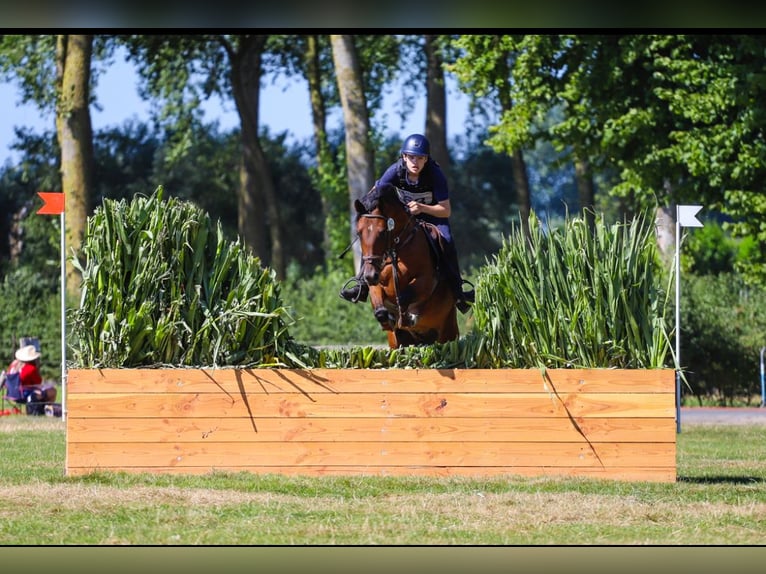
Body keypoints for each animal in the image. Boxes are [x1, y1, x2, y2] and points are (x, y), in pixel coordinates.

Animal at [353, 183, 459, 348]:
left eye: (382, 232)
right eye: (359, 233)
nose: (370, 275)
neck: (397, 249)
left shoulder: (425, 281)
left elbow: (403, 297)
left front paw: (407, 317)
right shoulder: (376, 284)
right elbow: (379, 308)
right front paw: (388, 320)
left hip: (448, 333)